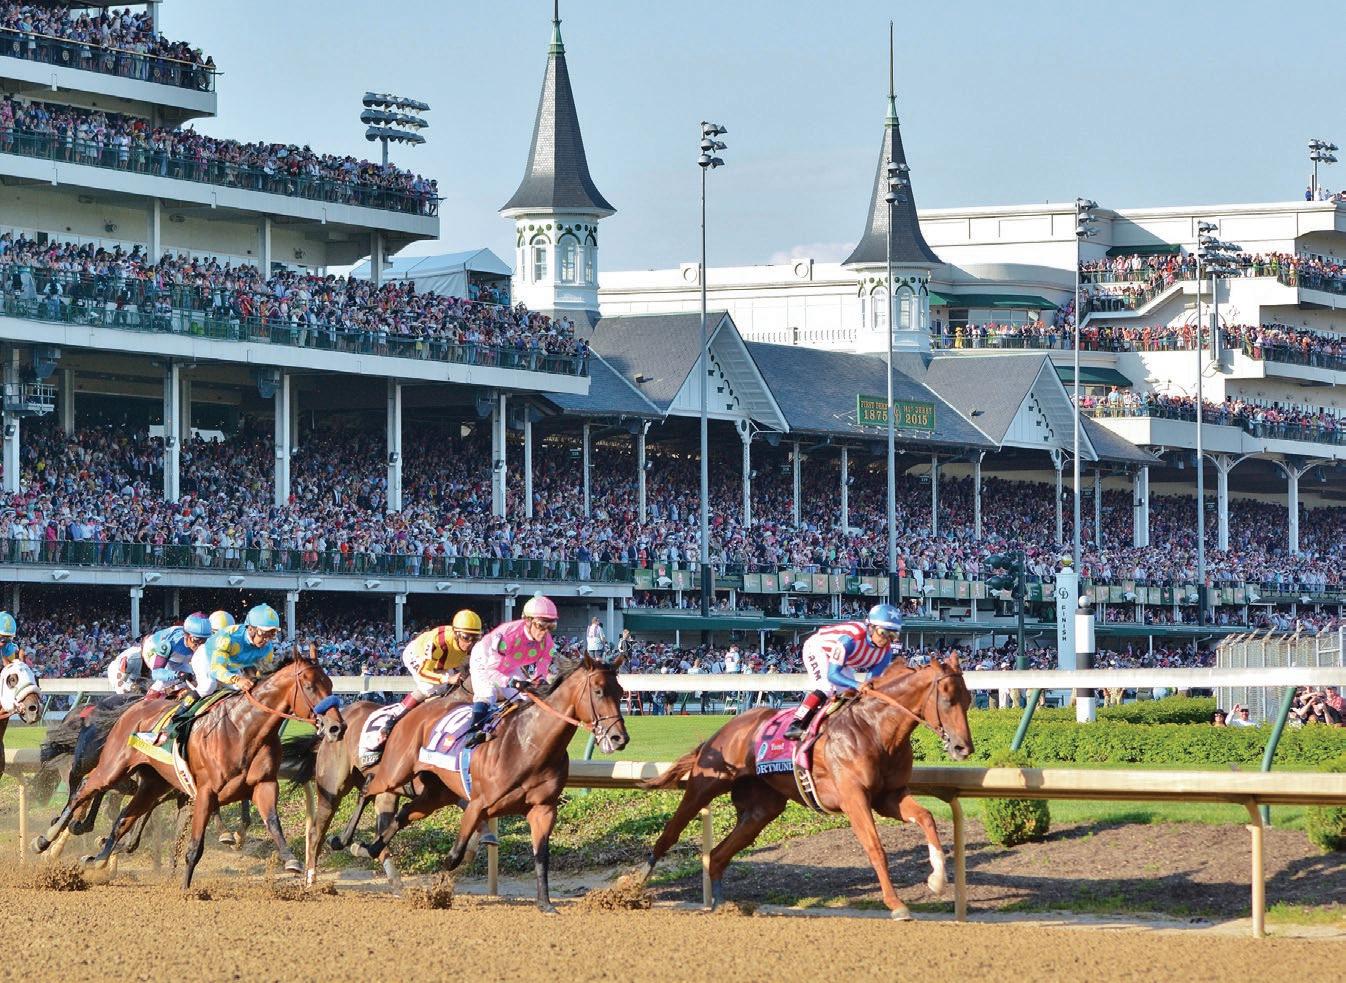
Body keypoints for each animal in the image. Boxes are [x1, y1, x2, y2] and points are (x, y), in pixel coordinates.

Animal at [33, 653, 346, 887]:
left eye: (330, 684)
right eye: (309, 685)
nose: (336, 727)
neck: (243, 728)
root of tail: (128, 711)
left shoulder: (263, 785)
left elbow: (271, 821)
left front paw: (291, 861)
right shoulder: (203, 791)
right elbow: (193, 845)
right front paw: (185, 887)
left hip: (151, 783)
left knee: (122, 817)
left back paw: (95, 856)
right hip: (111, 767)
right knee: (83, 790)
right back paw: (46, 839)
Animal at [333, 655, 629, 912]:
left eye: (620, 691)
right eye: (599, 691)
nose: (619, 738)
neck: (528, 744)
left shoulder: (543, 809)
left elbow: (541, 856)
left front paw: (545, 904)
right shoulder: (477, 804)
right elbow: (454, 856)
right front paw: (436, 893)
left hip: (435, 794)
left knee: (404, 813)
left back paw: (371, 847)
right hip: (396, 772)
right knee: (367, 789)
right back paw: (343, 840)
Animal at [640, 656, 973, 919]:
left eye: (968, 700)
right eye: (947, 700)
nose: (963, 747)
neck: (875, 729)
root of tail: (722, 731)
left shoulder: (888, 797)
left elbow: (927, 818)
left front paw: (937, 880)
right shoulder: (854, 798)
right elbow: (875, 848)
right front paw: (896, 903)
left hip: (762, 809)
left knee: (718, 855)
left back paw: (723, 903)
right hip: (705, 785)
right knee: (671, 831)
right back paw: (639, 882)